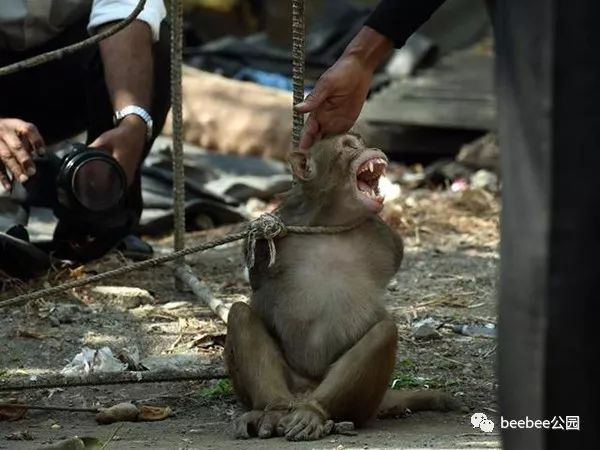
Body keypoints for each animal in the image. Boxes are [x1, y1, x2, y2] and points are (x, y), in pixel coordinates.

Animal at [225, 132, 460, 442]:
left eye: (362, 141)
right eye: (349, 146)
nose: (372, 148)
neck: (332, 221)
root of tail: (304, 392)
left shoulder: (385, 237)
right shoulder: (280, 228)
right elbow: (256, 276)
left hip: (362, 403)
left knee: (384, 332)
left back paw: (314, 412)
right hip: (289, 383)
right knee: (239, 314)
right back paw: (272, 409)